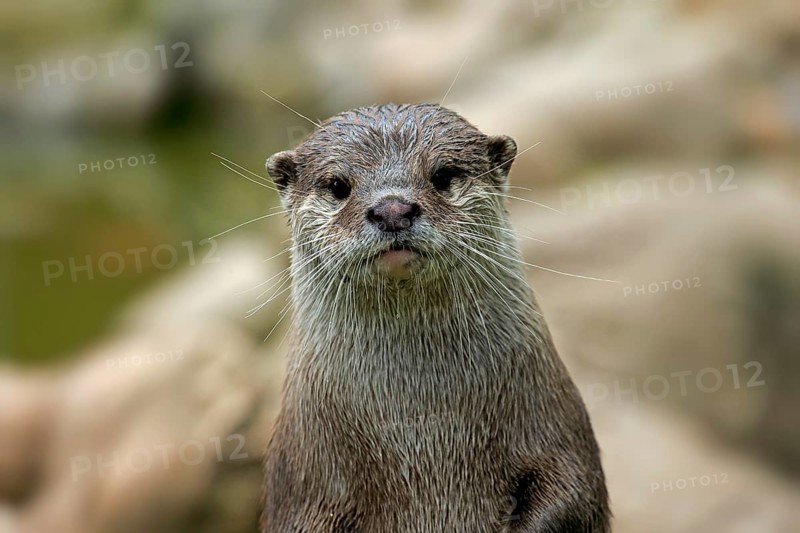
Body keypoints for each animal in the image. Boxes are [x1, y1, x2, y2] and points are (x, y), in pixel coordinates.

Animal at [261, 104, 610, 532]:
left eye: (442, 175)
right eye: (339, 185)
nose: (393, 209)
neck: (424, 422)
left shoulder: (558, 436)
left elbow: (571, 492)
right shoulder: (307, 483)